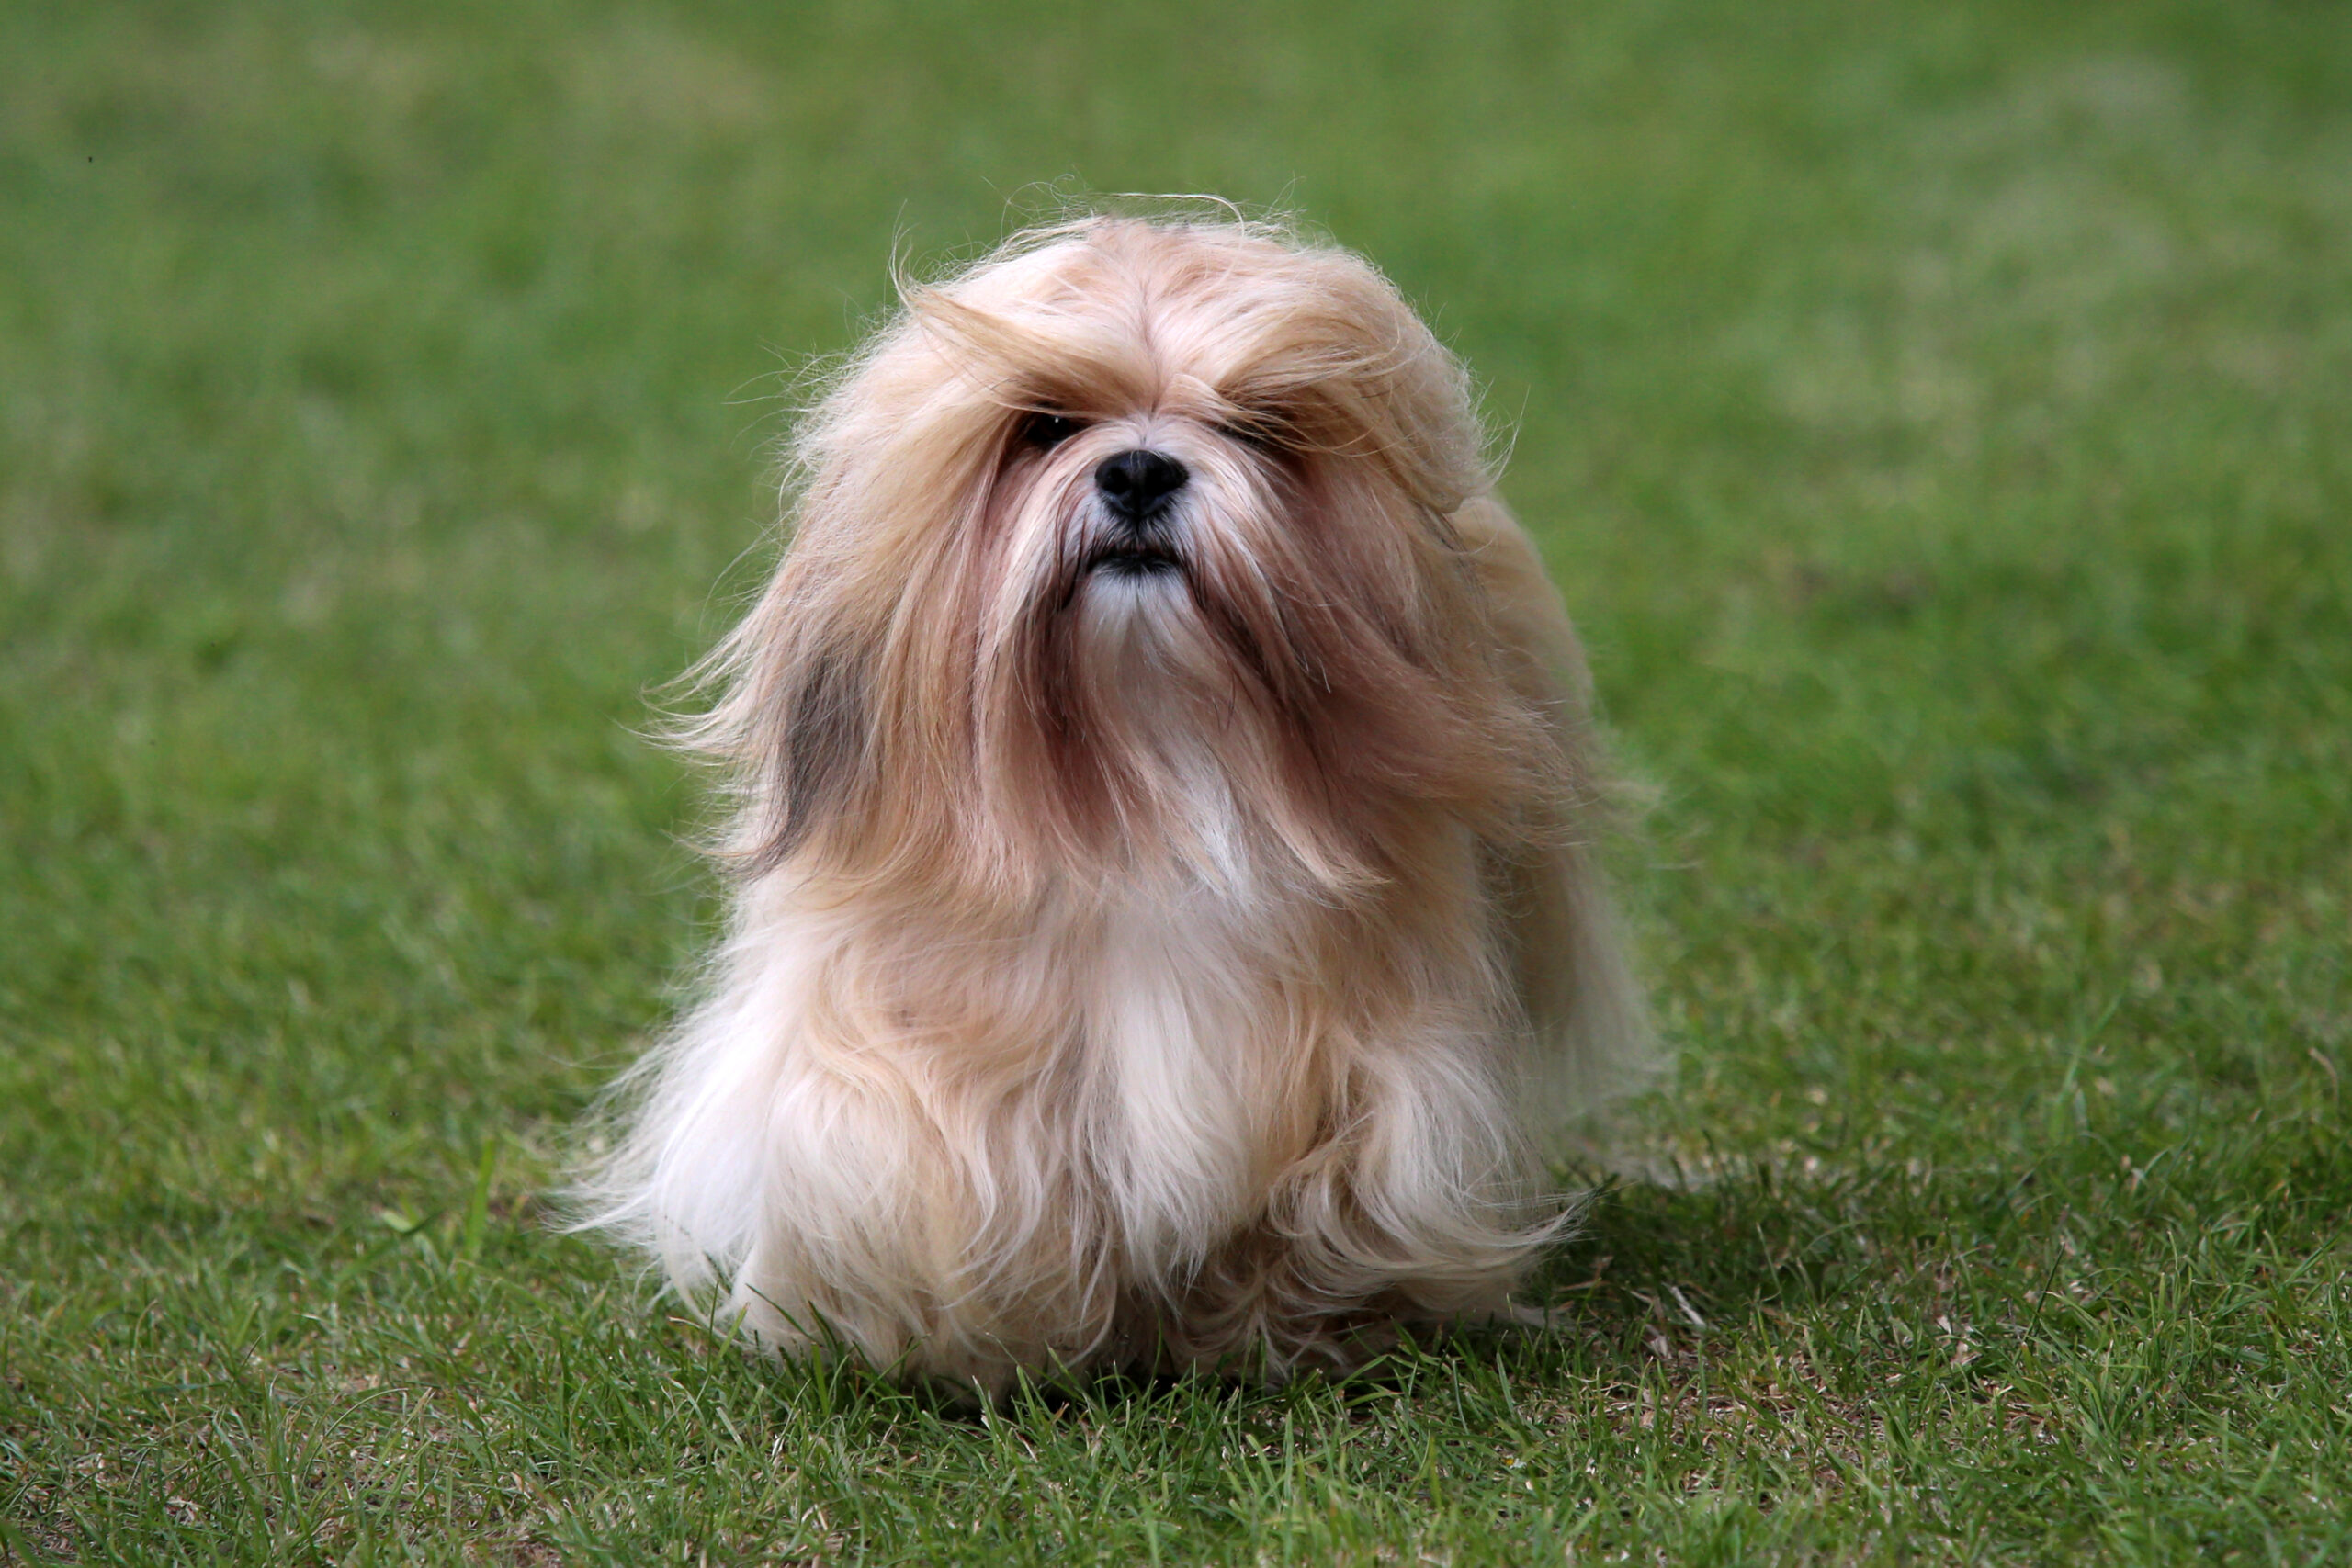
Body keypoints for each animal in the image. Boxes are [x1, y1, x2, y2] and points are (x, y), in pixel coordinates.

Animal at [578, 211, 1656, 1401]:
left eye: (1257, 427)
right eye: (1045, 426)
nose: (1139, 469)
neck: (1147, 772)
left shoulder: (1370, 1074)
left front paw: (1279, 1332)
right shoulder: (920, 1062)